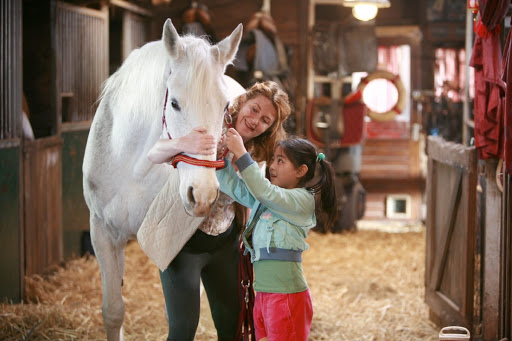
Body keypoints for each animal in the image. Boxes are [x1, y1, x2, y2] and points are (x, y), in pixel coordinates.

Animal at [83, 19, 243, 340]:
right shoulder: (102, 231)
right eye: (176, 104)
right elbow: (113, 310)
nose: (203, 195)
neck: (131, 166)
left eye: (224, 107)